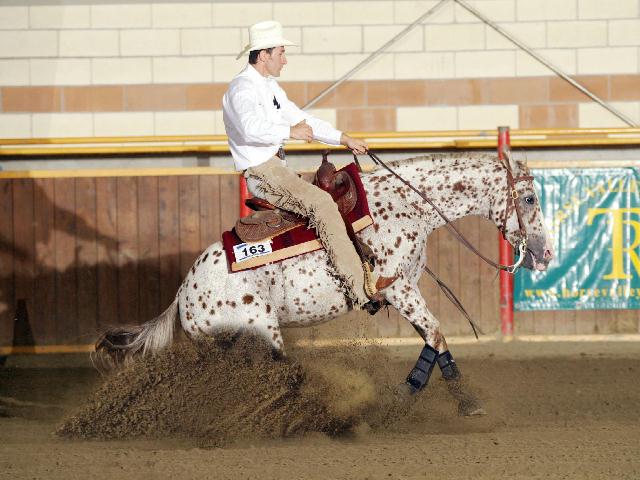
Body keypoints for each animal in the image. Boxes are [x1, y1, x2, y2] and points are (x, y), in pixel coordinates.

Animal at [97, 153, 552, 412]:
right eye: (530, 199)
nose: (546, 253)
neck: (405, 205)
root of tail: (182, 296)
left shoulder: (407, 288)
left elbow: (431, 339)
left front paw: (409, 394)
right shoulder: (396, 287)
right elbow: (437, 334)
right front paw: (465, 401)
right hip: (260, 332)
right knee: (281, 374)